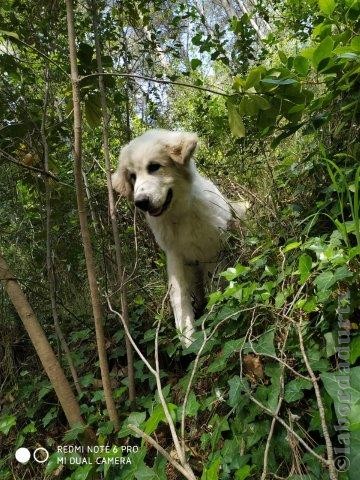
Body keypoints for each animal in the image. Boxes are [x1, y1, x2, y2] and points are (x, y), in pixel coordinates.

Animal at [112, 129, 248, 346]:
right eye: (132, 176)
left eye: (154, 167)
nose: (140, 202)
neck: (179, 216)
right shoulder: (175, 256)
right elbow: (179, 297)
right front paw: (188, 338)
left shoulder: (212, 252)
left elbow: (215, 286)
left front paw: (213, 318)